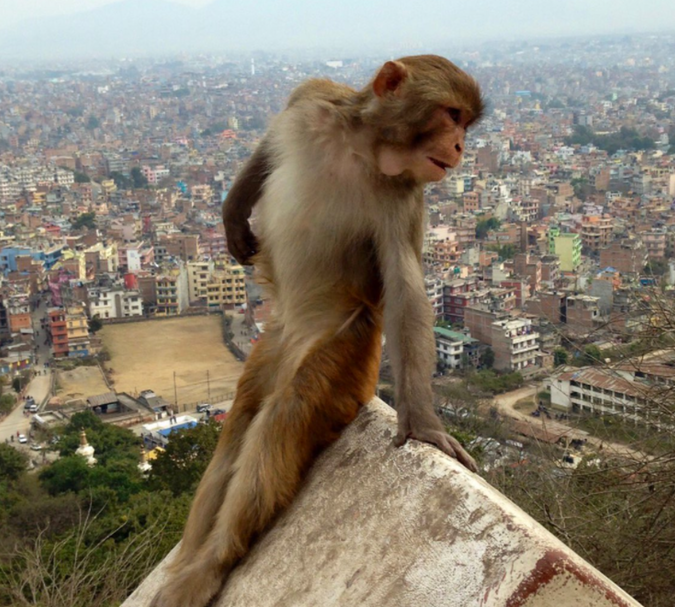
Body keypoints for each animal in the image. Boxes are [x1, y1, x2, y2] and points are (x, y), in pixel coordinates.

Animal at [152, 55, 486, 607]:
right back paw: (191, 563)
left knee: (286, 411)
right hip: (270, 345)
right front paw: (232, 215)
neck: (362, 146)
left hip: (346, 350)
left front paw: (423, 423)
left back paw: (211, 564)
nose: (460, 146)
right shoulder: (312, 100)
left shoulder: (402, 198)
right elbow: (269, 146)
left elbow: (405, 290)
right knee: (242, 417)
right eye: (452, 115)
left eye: (464, 123)